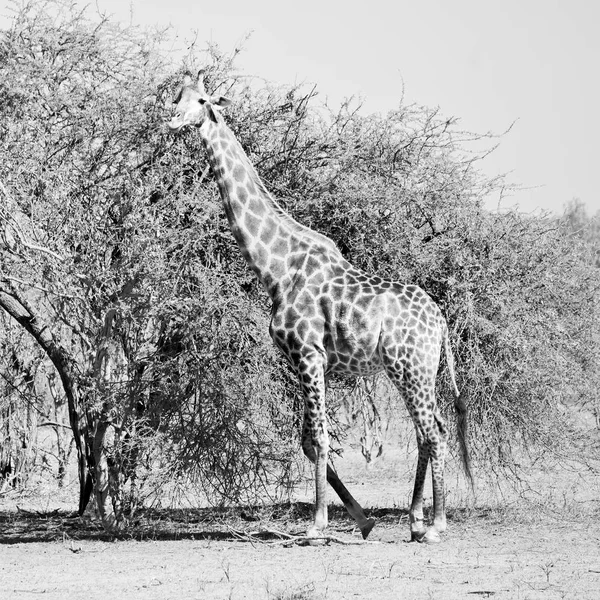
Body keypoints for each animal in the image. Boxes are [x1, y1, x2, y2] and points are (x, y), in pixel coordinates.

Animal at [166, 70, 472, 544]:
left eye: (201, 100)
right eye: (175, 95)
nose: (172, 119)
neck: (276, 267)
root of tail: (440, 320)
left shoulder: (308, 353)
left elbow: (323, 440)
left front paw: (317, 525)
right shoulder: (306, 360)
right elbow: (309, 443)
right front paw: (362, 520)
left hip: (411, 367)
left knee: (433, 431)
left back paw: (435, 524)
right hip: (412, 369)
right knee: (430, 430)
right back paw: (416, 520)